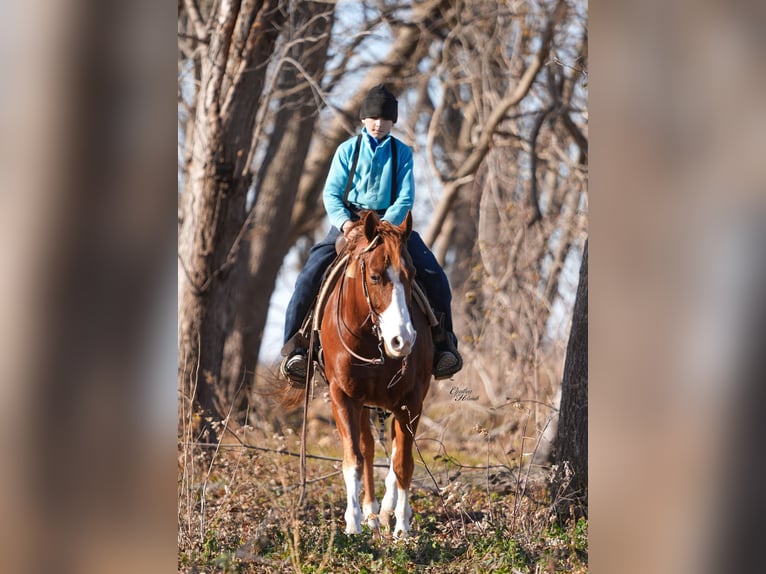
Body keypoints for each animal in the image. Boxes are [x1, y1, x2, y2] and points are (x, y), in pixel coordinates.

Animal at [312, 210, 433, 538]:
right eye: (375, 276)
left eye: (412, 275)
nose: (403, 340)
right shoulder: (343, 396)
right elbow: (353, 458)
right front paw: (353, 524)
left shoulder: (411, 400)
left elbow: (403, 462)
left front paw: (402, 526)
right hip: (363, 403)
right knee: (367, 448)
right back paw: (370, 512)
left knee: (393, 452)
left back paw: (388, 509)